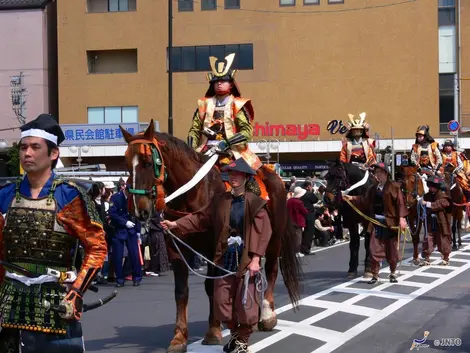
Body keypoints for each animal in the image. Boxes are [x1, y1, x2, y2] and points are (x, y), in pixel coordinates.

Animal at [119, 120, 300, 350]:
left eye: (147, 163)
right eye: (126, 163)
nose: (139, 210)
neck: (193, 192)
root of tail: (275, 178)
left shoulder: (215, 246)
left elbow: (212, 286)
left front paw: (213, 330)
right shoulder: (176, 248)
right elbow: (181, 291)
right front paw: (179, 337)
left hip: (273, 236)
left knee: (271, 269)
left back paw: (267, 315)